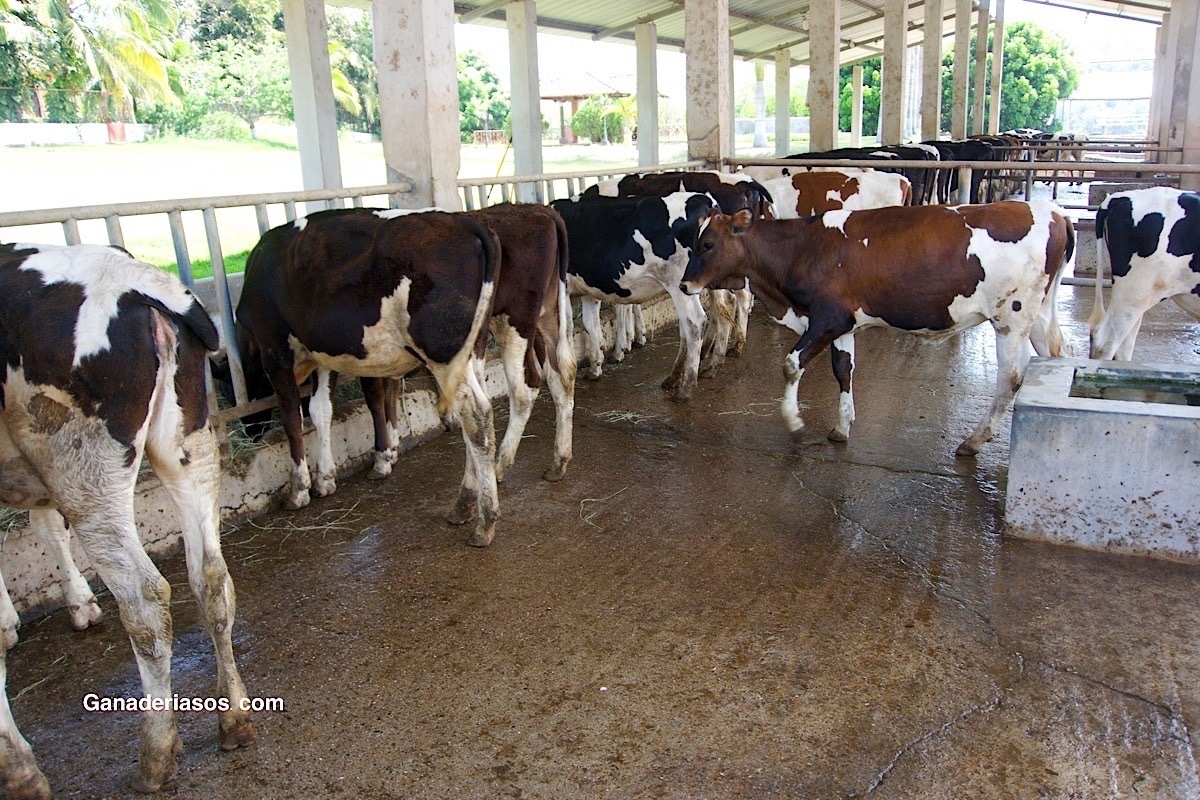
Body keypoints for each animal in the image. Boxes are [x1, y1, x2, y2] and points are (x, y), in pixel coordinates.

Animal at [0, 244, 255, 800]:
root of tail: (140, 283)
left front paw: (18, 770)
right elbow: (45, 527)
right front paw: (77, 605)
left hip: (81, 465)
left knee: (145, 598)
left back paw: (156, 754)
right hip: (186, 442)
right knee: (211, 577)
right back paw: (234, 718)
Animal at [234, 206, 501, 546]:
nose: (249, 430)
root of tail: (462, 220)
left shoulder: (274, 348)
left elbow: (292, 418)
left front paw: (299, 489)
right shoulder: (321, 355)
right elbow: (321, 411)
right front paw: (325, 478)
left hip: (443, 350)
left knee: (476, 416)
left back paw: (485, 521)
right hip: (472, 351)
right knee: (478, 417)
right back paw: (464, 504)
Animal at [549, 191, 715, 402]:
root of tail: (703, 199)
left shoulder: (563, 289)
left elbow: (568, 329)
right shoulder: (588, 290)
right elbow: (591, 325)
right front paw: (595, 368)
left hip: (680, 285)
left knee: (695, 323)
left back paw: (685, 388)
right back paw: (676, 376)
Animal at [681, 200, 1075, 455]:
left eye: (708, 244)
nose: (684, 286)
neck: (801, 248)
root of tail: (1054, 213)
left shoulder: (828, 318)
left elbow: (792, 364)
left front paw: (793, 422)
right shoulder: (843, 324)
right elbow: (843, 370)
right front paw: (842, 427)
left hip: (1011, 317)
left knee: (1011, 376)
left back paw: (975, 440)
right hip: (1038, 315)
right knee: (1058, 353)